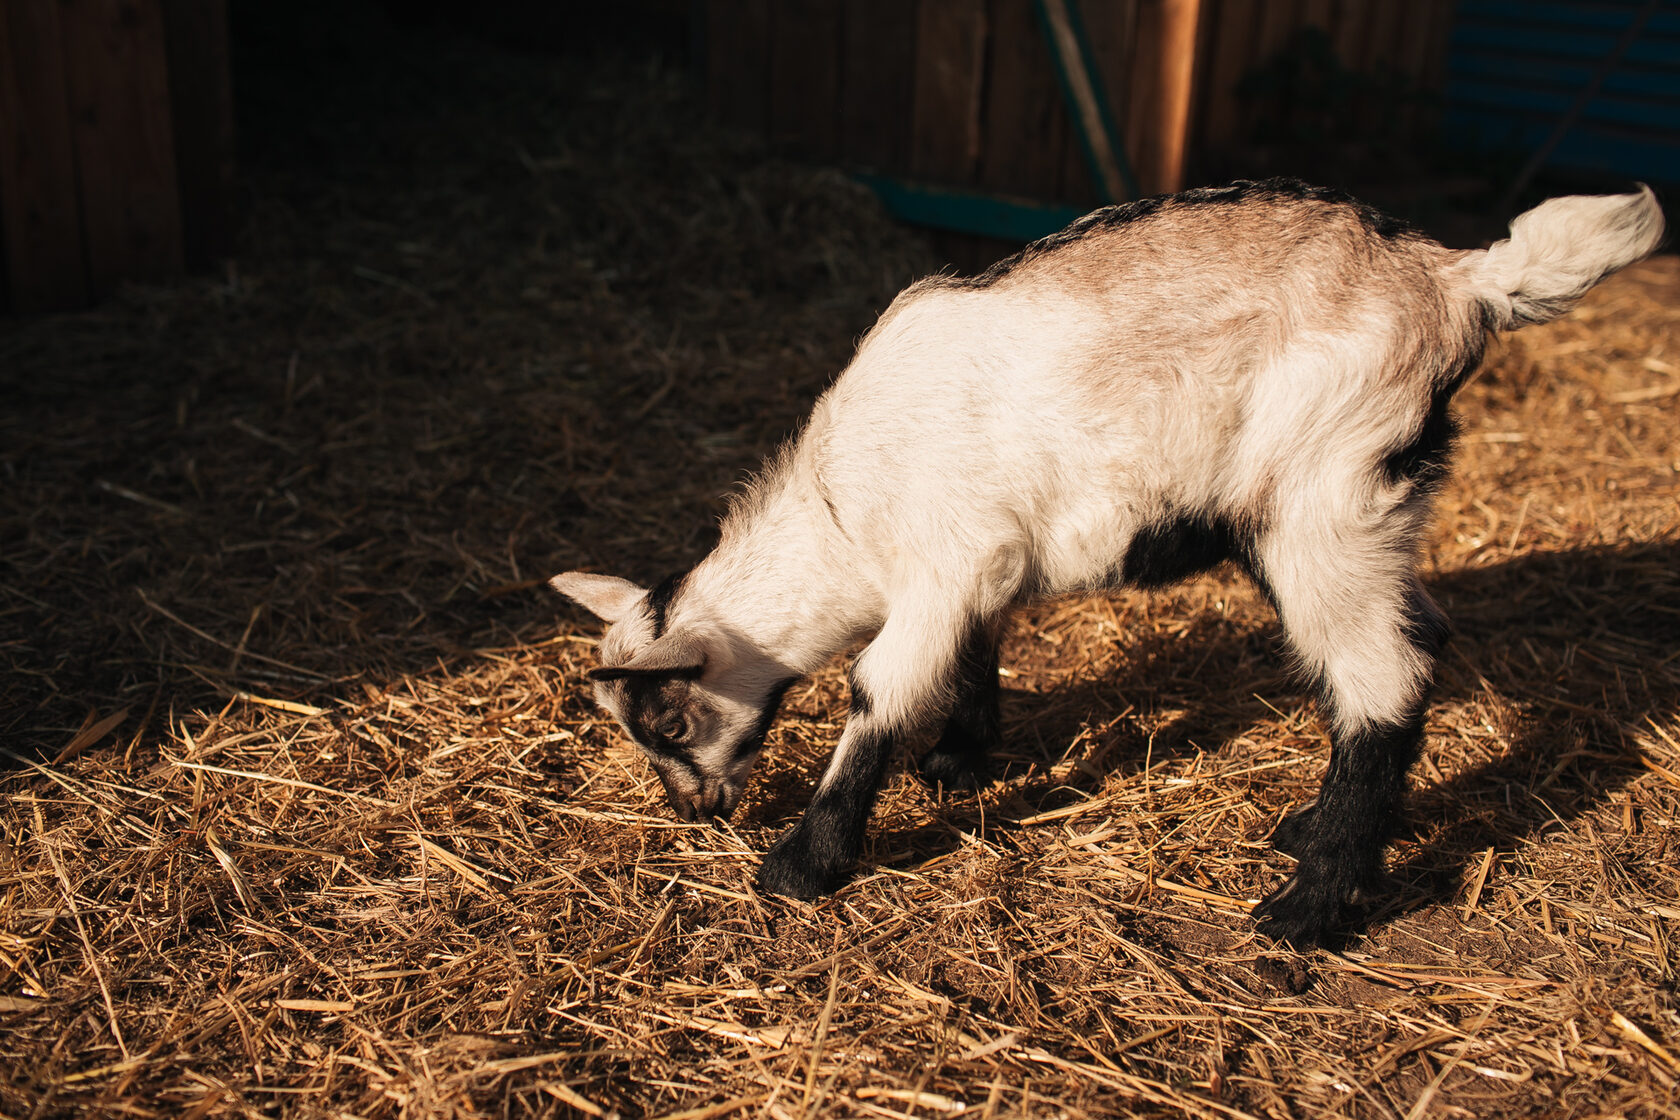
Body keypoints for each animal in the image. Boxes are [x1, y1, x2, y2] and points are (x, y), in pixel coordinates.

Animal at [554, 177, 1666, 947]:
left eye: (665, 720)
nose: (693, 810)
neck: (841, 518)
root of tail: (1456, 280)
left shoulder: (941, 563)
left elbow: (881, 693)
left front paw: (802, 864)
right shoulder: (982, 566)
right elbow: (973, 655)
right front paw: (961, 762)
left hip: (1328, 490)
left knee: (1381, 676)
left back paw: (1304, 908)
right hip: (1364, 509)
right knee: (1415, 642)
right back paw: (1312, 833)